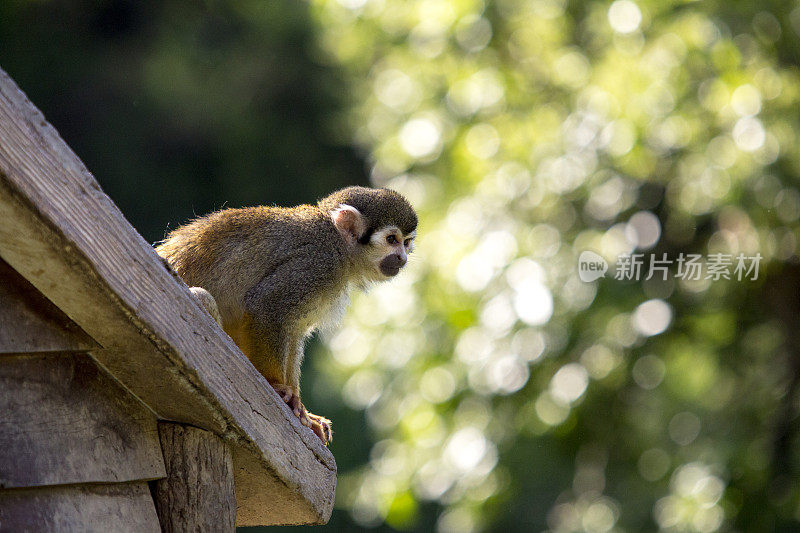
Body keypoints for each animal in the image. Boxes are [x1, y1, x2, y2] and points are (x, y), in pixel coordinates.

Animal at [155, 187, 418, 444]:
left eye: (406, 243)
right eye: (391, 240)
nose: (402, 258)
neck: (339, 244)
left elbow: (293, 330)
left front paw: (305, 413)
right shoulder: (317, 263)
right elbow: (266, 306)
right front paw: (277, 386)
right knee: (202, 297)